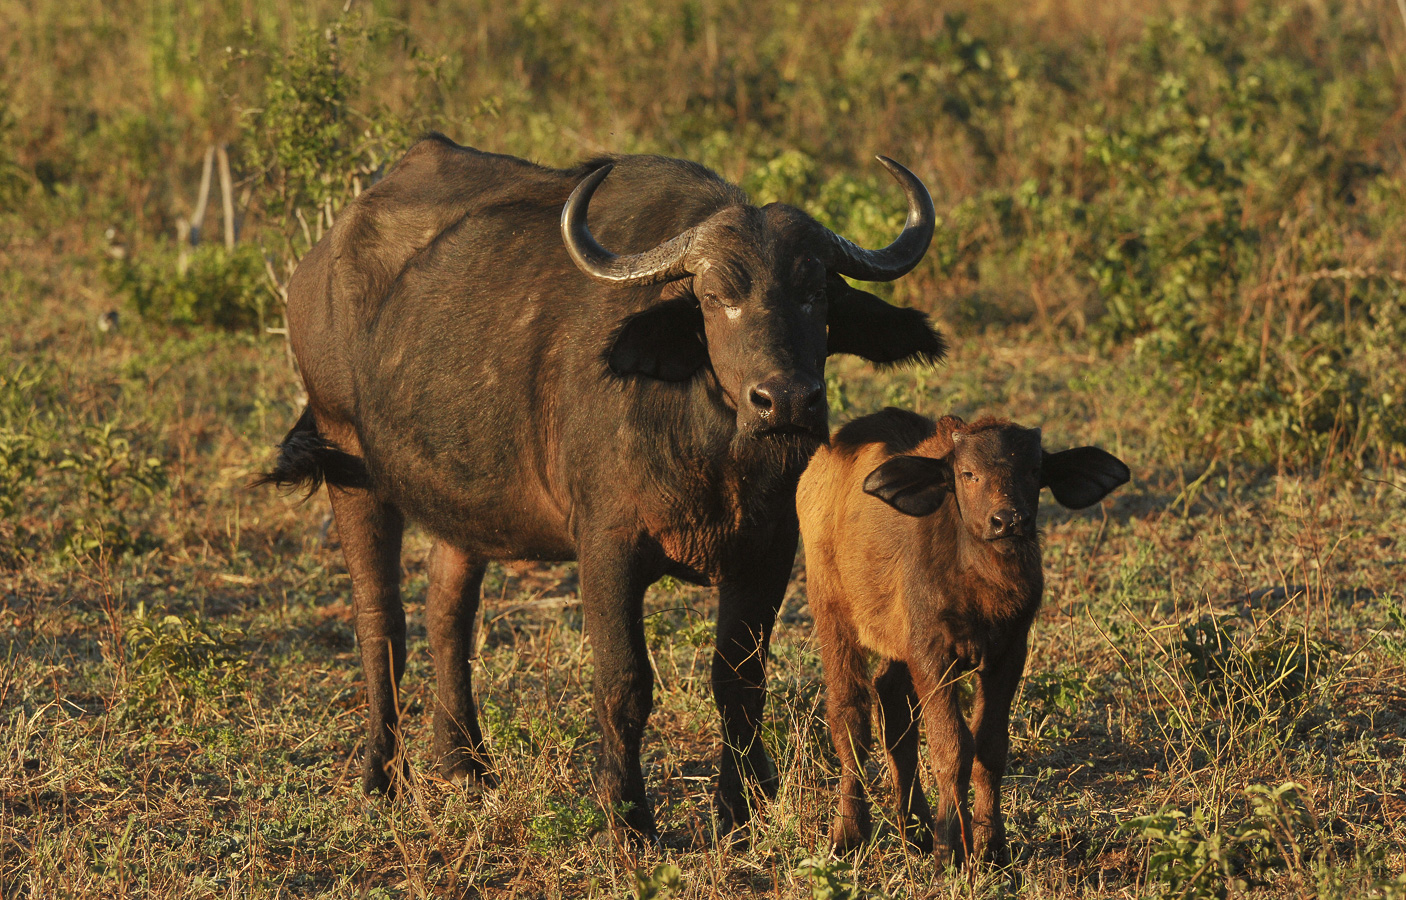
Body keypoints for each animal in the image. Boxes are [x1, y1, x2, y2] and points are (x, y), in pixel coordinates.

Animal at [264, 133, 944, 843]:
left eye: (817, 295)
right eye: (715, 295)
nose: (784, 400)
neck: (711, 449)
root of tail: (318, 262)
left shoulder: (768, 551)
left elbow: (740, 681)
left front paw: (740, 808)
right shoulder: (607, 550)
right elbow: (624, 682)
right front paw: (628, 817)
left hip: (465, 502)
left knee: (447, 611)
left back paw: (466, 766)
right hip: (347, 458)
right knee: (381, 619)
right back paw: (383, 777)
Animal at [798, 407, 1124, 866]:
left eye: (1033, 470)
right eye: (968, 474)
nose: (1009, 521)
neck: (979, 578)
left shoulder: (1008, 653)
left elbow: (990, 746)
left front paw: (991, 845)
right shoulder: (932, 654)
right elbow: (951, 748)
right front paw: (950, 848)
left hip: (897, 642)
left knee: (892, 703)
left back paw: (915, 829)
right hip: (832, 614)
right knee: (851, 716)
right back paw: (850, 834)